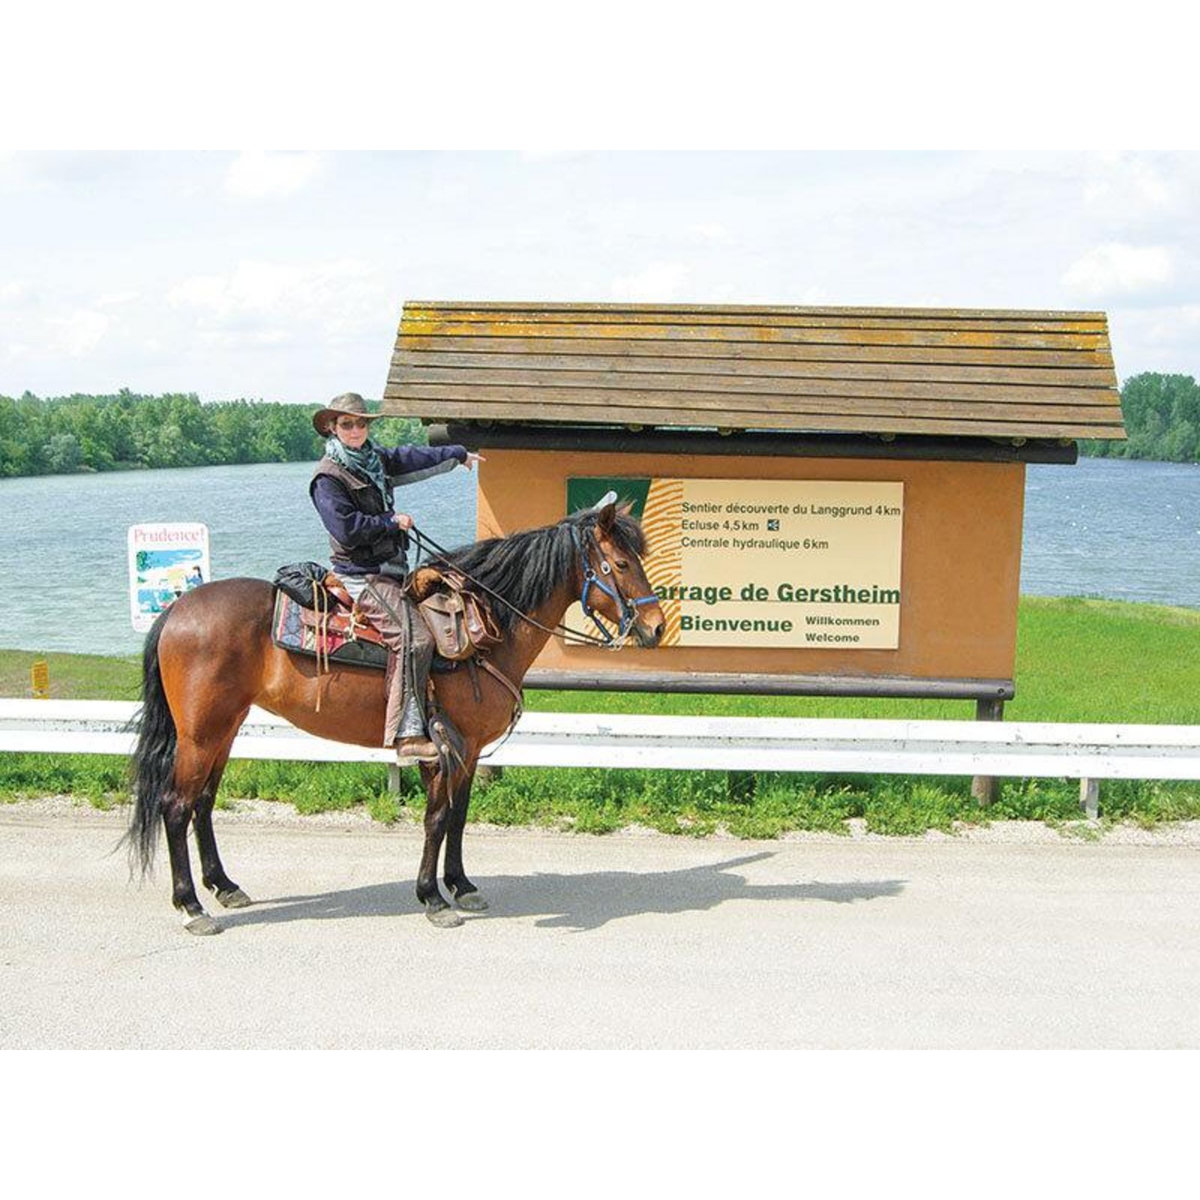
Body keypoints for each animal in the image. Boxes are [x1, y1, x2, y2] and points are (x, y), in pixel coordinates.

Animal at [126, 500, 665, 934]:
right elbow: (437, 817)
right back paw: (192, 906)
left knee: (203, 803)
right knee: (176, 805)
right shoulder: (446, 747)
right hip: (200, 734)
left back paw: (224, 886)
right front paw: (432, 897)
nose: (656, 627)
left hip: (225, 728)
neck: (487, 629)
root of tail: (176, 610)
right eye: (621, 563)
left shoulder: (470, 751)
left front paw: (461, 885)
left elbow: (459, 817)